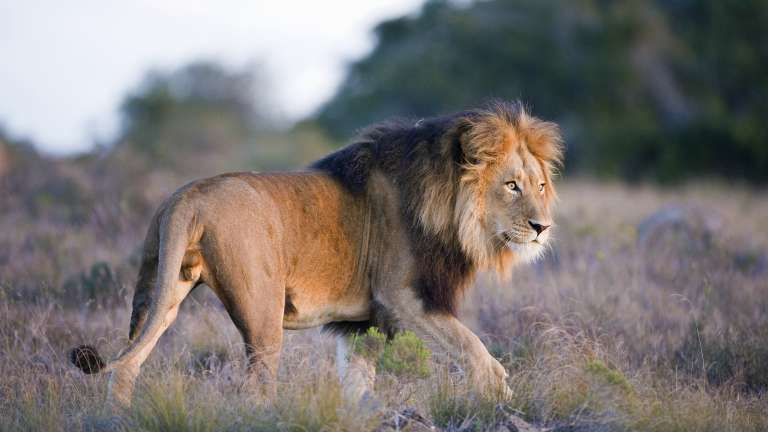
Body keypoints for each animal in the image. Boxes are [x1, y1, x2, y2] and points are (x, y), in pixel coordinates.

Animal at [70, 100, 563, 407]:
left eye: (540, 185)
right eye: (511, 185)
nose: (542, 228)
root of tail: (187, 196)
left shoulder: (364, 323)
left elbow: (359, 385)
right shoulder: (404, 297)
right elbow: (479, 354)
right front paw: (500, 403)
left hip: (162, 290)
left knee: (126, 365)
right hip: (263, 311)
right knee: (256, 387)